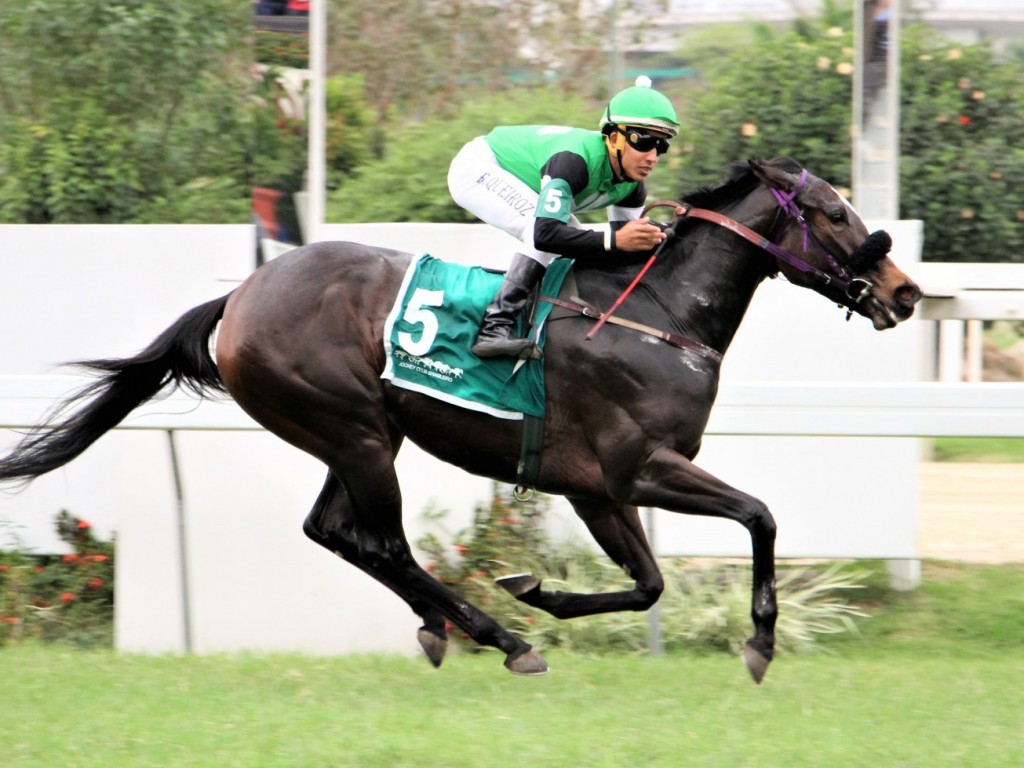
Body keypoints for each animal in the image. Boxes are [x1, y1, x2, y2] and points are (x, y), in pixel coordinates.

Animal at [0, 156, 921, 684]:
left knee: (332, 531)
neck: (657, 313)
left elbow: (650, 583)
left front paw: (540, 590)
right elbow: (759, 516)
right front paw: (760, 642)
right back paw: (495, 637)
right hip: (358, 433)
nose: (907, 291)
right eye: (833, 212)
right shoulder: (638, 467)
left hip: (358, 433)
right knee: (380, 543)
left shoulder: (596, 488)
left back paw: (450, 626)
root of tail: (242, 296)